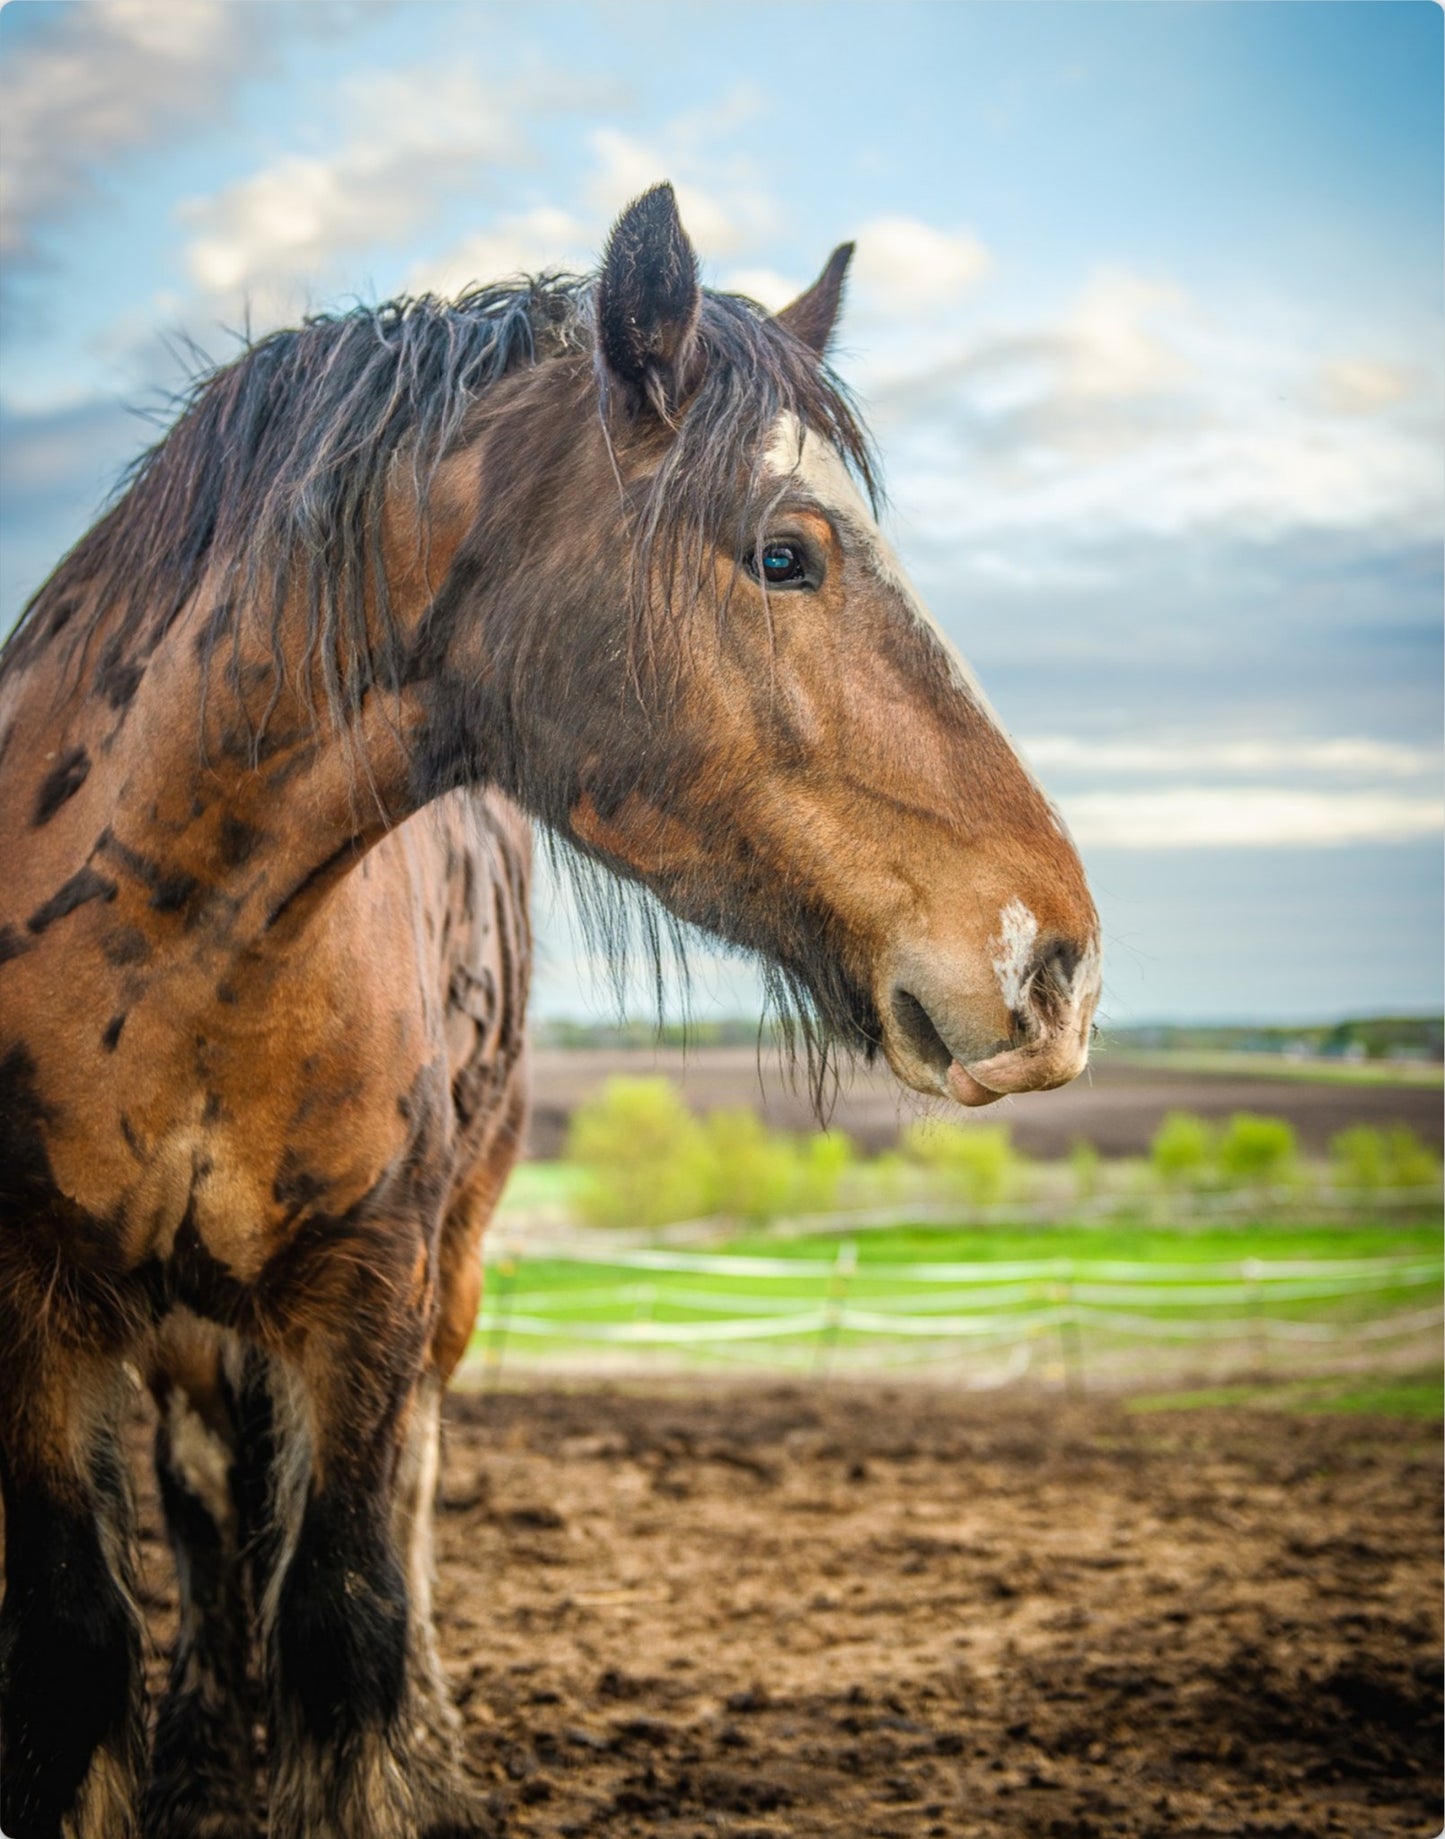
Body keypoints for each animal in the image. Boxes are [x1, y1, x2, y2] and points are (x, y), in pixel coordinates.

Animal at [0, 175, 1095, 1839]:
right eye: (788, 553)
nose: (1057, 959)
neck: (171, 936)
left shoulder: (369, 1283)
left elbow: (348, 1620)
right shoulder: (37, 1300)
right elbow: (81, 1647)